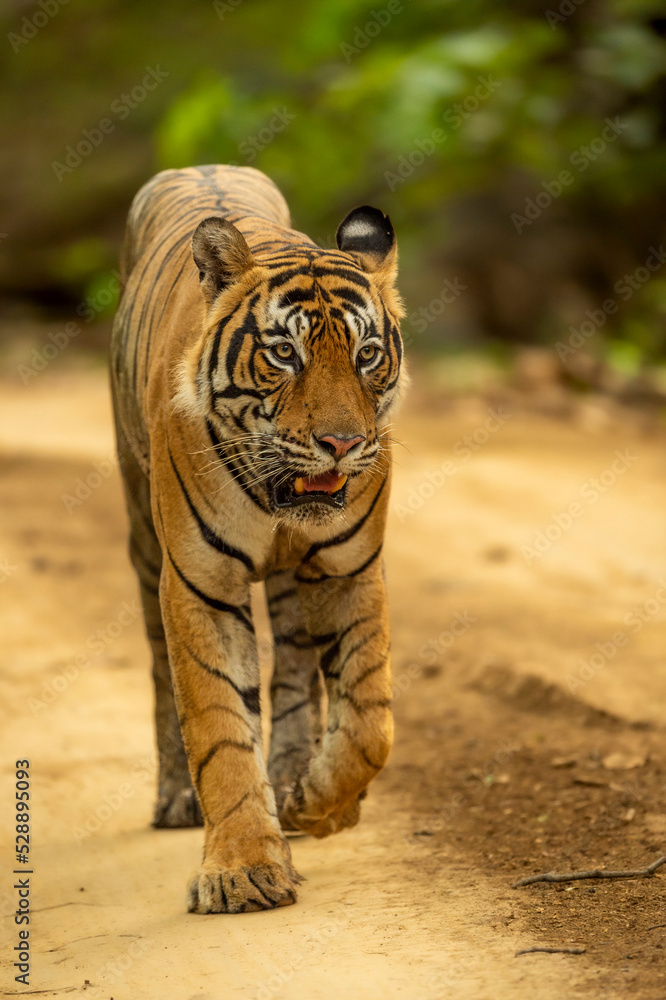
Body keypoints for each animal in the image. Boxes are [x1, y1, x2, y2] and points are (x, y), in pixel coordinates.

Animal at [110, 164, 406, 914]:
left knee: (298, 671)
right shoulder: (200, 584)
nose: (343, 443)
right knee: (160, 674)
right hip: (143, 536)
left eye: (366, 355)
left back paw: (298, 773)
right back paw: (178, 799)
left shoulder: (350, 566)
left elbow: (370, 721)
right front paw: (243, 869)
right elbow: (218, 726)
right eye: (283, 354)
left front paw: (319, 804)